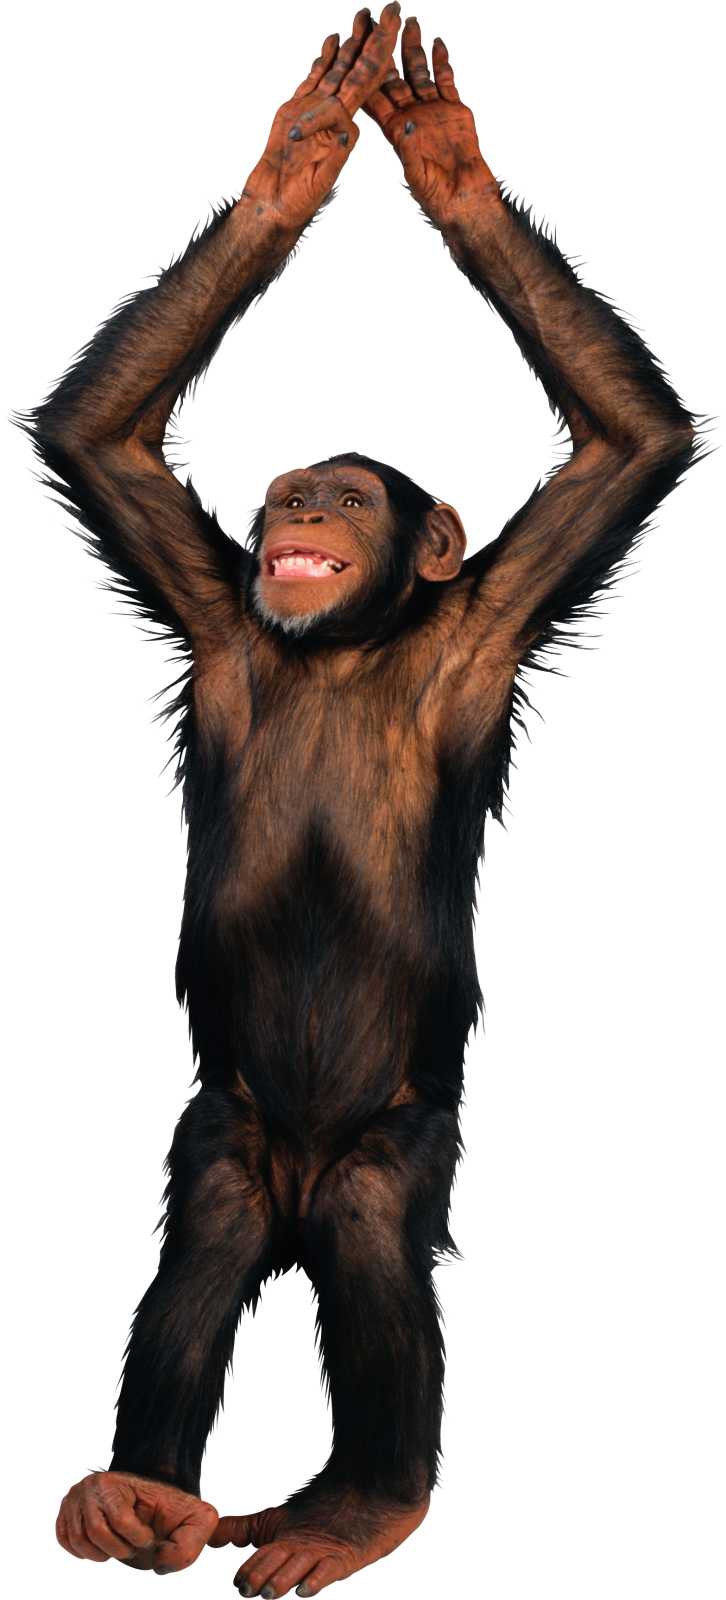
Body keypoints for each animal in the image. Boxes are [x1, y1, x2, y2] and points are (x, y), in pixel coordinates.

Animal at [6, 6, 715, 1595]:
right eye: (287, 491)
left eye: (342, 490)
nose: (296, 503)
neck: (350, 641)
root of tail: (294, 1190)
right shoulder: (211, 605)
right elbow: (102, 445)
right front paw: (299, 156)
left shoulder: (496, 619)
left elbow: (628, 446)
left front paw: (448, 163)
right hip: (225, 1127)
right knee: (201, 1246)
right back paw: (142, 1499)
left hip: (394, 1140)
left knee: (380, 1238)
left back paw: (359, 1506)